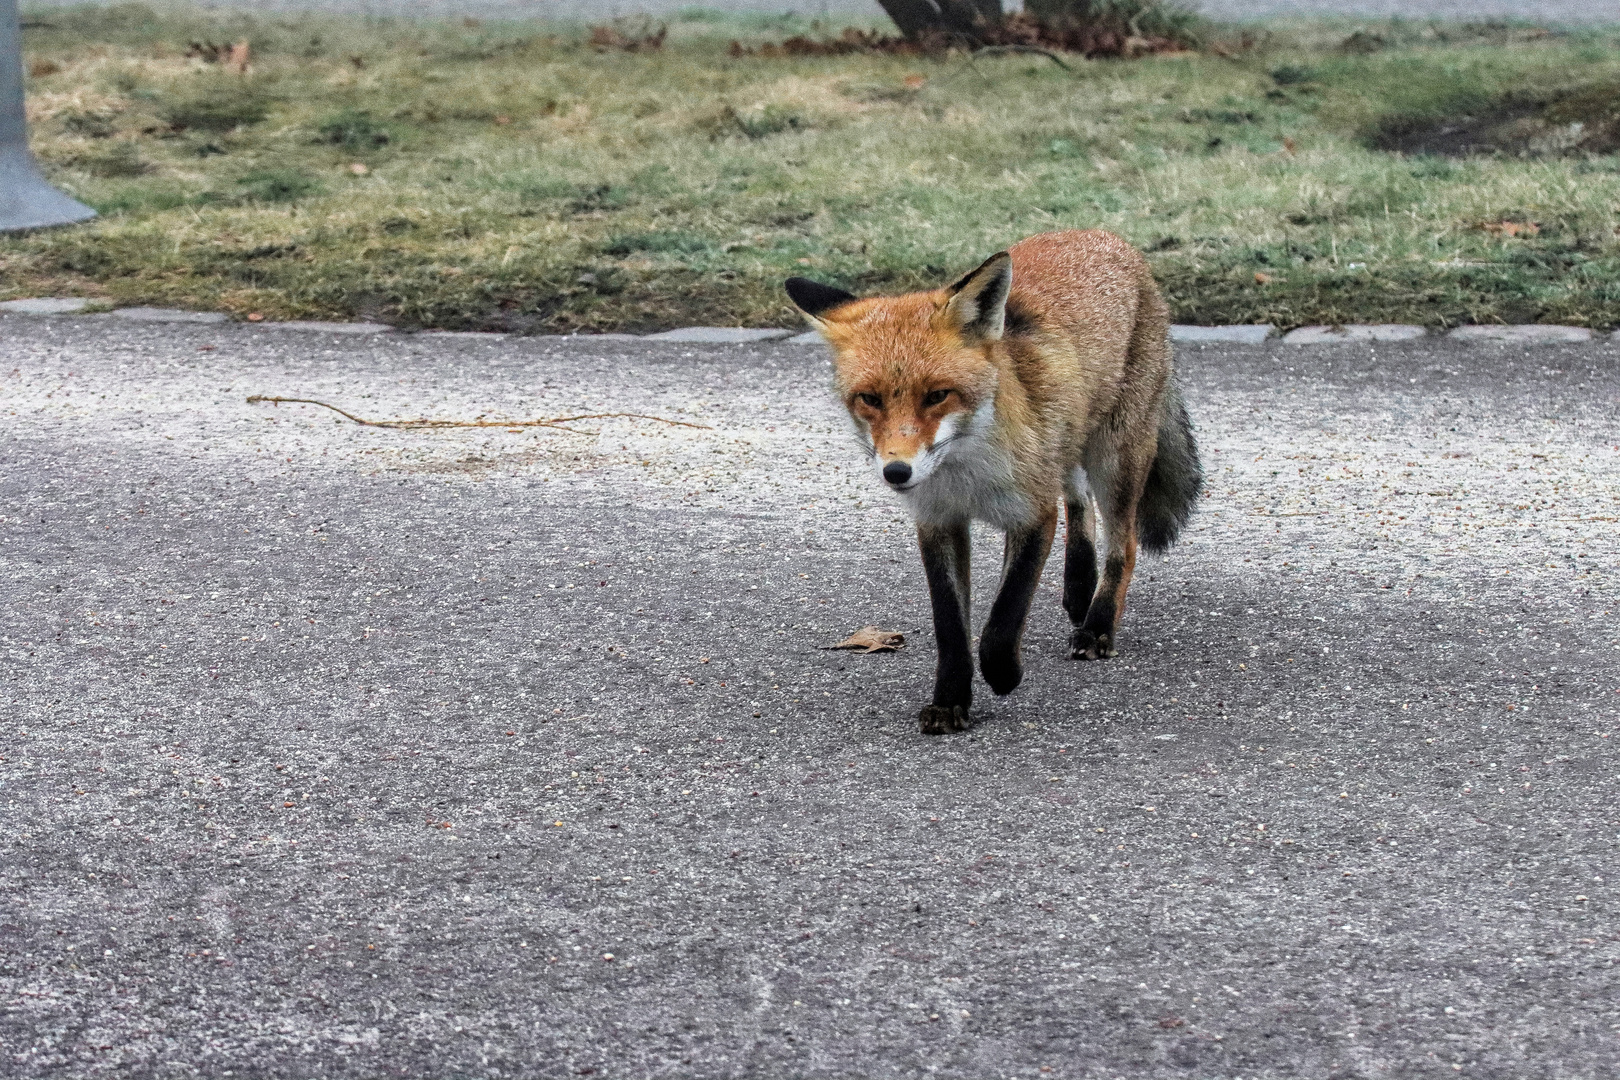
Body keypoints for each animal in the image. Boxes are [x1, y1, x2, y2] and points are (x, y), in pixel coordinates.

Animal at [787, 228, 1205, 735]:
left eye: (937, 395)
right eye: (869, 398)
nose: (897, 472)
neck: (967, 475)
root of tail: (1102, 234)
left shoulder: (1032, 513)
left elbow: (1004, 615)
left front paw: (1003, 673)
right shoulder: (938, 520)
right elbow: (950, 626)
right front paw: (950, 700)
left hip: (1116, 456)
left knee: (1121, 545)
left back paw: (1097, 625)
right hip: (1068, 442)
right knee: (1078, 495)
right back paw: (1079, 584)